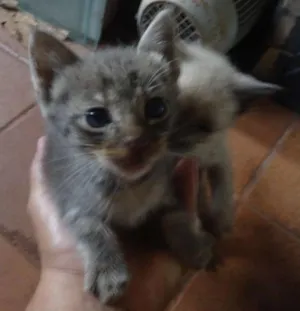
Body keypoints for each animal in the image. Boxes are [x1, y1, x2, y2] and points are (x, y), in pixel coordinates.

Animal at [28, 10, 214, 308]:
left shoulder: (166, 184)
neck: (129, 185)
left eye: (157, 108)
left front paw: (192, 244)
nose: (136, 142)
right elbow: (89, 225)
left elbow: (177, 215)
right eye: (96, 117)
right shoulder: (69, 197)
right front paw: (107, 270)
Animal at [168, 38, 280, 236]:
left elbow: (223, 189)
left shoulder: (218, 157)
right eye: (173, 109)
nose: (172, 138)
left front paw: (220, 224)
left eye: (203, 127)